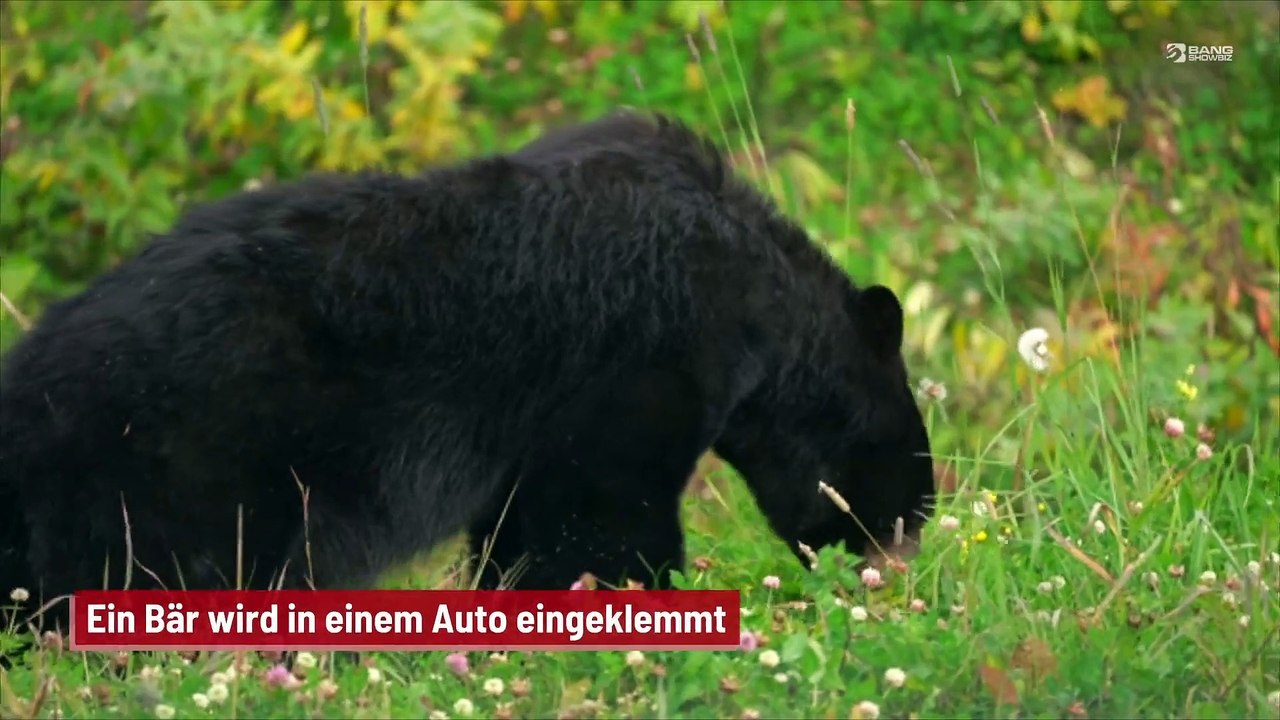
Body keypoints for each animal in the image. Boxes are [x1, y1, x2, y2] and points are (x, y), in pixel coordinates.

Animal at [0, 110, 935, 633]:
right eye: (907, 475)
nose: (901, 560)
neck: (749, 294)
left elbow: (527, 527)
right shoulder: (637, 360)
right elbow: (602, 509)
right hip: (185, 457)